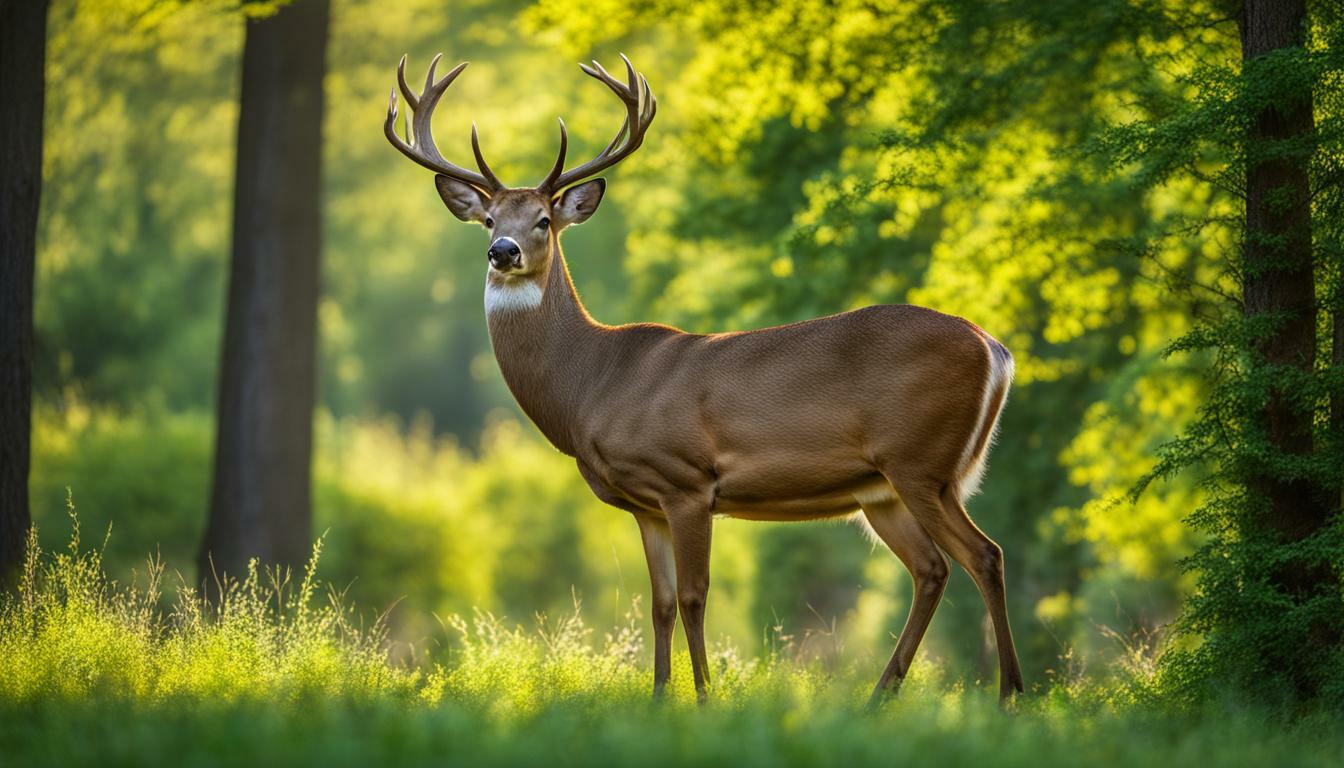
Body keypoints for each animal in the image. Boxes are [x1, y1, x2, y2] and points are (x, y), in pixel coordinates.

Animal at [384, 51, 1021, 704]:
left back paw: (1008, 695)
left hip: (923, 462)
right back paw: (880, 697)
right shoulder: (645, 505)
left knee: (985, 555)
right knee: (932, 568)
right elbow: (660, 604)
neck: (591, 384)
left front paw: (708, 698)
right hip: (882, 489)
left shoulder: (687, 480)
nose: (503, 251)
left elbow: (693, 598)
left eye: (541, 220)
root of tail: (995, 349)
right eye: (488, 219)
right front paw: (660, 697)